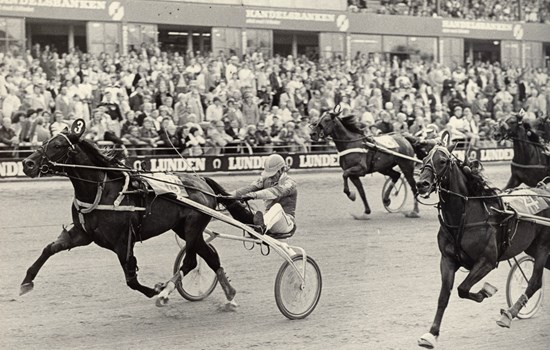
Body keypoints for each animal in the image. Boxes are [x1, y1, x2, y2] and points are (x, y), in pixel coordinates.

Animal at [20, 119, 253, 308]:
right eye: (45, 141)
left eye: (57, 146)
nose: (27, 163)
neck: (102, 190)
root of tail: (203, 181)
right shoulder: (83, 234)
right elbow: (49, 249)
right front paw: (26, 281)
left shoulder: (123, 241)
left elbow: (131, 279)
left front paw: (155, 290)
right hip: (184, 228)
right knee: (209, 256)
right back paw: (230, 295)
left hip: (193, 226)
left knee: (191, 262)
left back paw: (166, 292)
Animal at [416, 144, 550, 348]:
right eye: (423, 160)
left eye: (442, 161)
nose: (421, 184)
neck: (466, 218)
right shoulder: (447, 260)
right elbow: (444, 296)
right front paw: (431, 334)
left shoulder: (487, 261)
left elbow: (463, 289)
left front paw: (485, 292)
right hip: (534, 247)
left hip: (543, 246)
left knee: (534, 282)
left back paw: (509, 314)